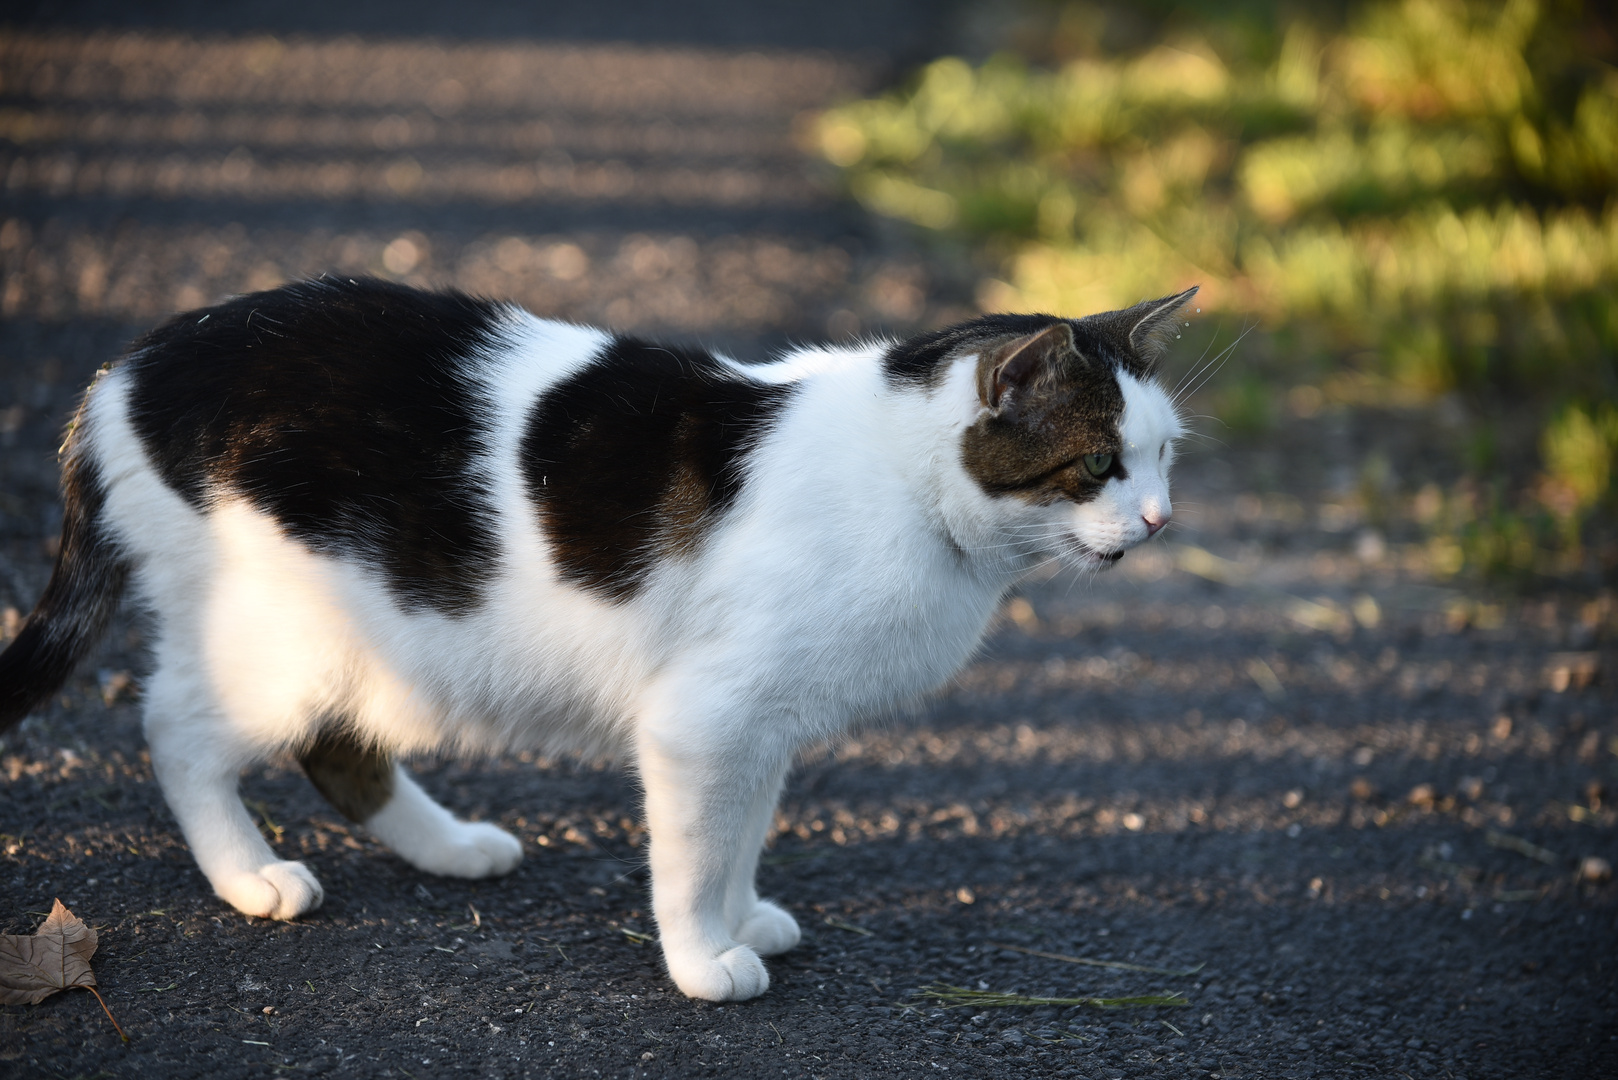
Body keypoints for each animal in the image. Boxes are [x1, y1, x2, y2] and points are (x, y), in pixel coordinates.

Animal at [0, 275, 1190, 1003]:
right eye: (1099, 464)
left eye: (1167, 455)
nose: (1159, 521)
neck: (903, 482)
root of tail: (128, 371)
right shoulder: (703, 720)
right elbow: (692, 851)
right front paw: (703, 960)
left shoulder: (761, 729)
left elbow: (740, 836)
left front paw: (740, 919)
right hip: (283, 640)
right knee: (179, 728)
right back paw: (251, 876)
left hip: (382, 639)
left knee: (338, 746)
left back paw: (451, 847)